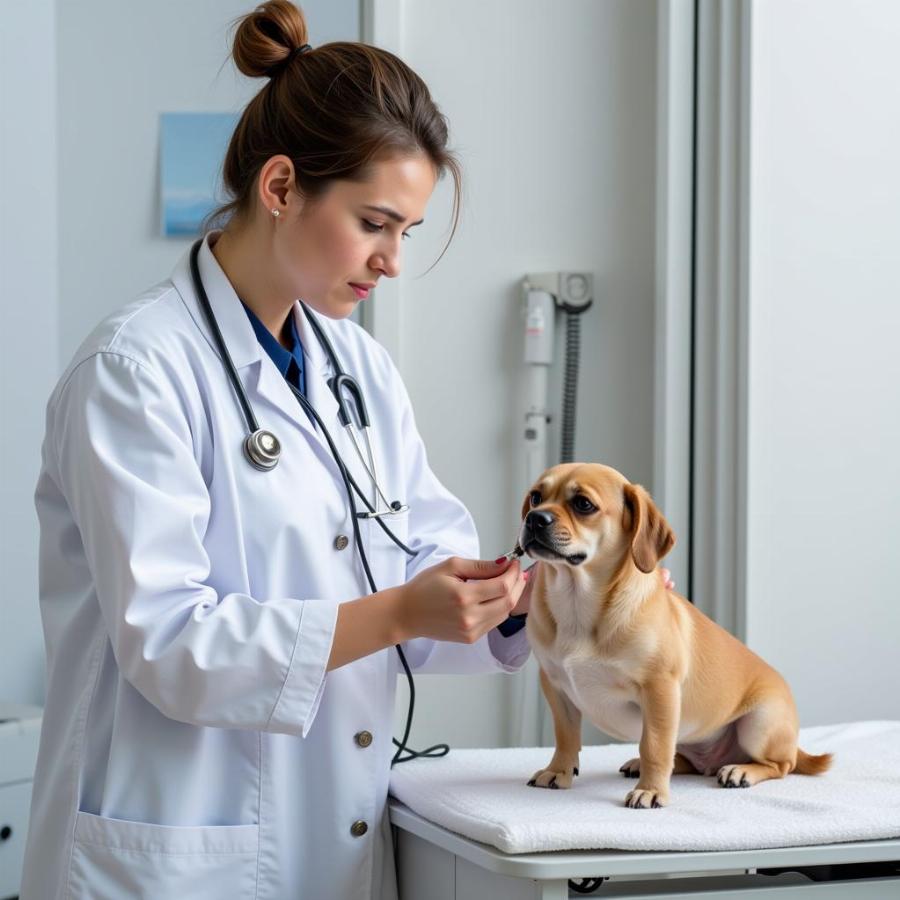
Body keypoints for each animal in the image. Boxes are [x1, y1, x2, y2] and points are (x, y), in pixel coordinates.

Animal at [524, 464, 832, 808]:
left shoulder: (659, 688)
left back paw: (741, 771)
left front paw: (651, 790)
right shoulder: (557, 688)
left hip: (759, 724)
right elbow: (566, 738)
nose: (535, 518)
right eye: (536, 497)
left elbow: (654, 746)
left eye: (583, 504)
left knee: (781, 765)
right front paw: (558, 771)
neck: (577, 602)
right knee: (683, 759)